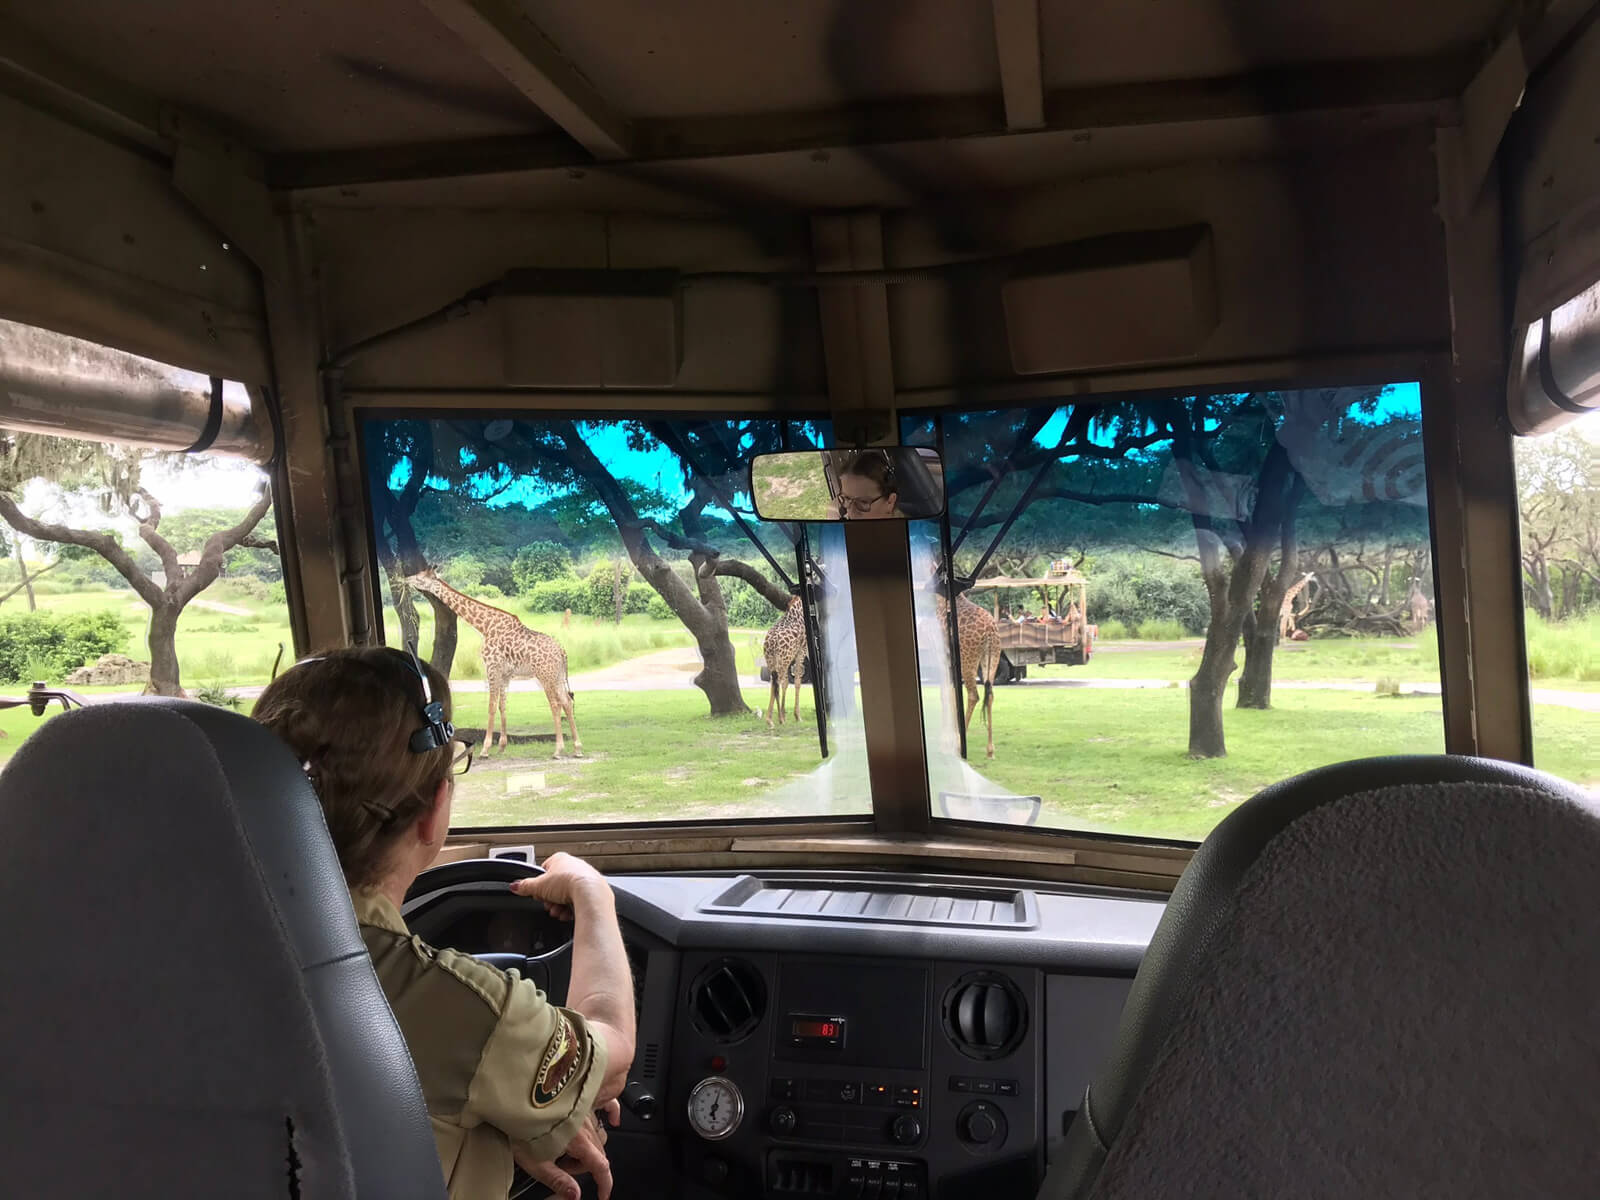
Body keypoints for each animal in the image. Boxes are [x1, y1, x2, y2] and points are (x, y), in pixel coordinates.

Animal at [406, 569, 582, 755]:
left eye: (420, 578)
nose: (405, 579)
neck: (485, 627)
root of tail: (562, 652)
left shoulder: (491, 668)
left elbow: (491, 706)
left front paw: (485, 748)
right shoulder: (505, 674)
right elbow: (502, 706)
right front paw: (502, 746)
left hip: (545, 676)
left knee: (556, 705)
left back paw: (558, 749)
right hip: (557, 676)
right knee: (567, 702)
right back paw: (577, 747)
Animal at [764, 595, 812, 729]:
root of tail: (771, 642)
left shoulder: (791, 657)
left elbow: (787, 683)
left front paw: (784, 716)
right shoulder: (801, 651)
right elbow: (797, 682)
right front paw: (797, 716)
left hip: (772, 660)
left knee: (774, 683)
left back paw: (771, 719)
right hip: (783, 659)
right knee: (778, 682)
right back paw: (775, 719)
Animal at [934, 592, 992, 761]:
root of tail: (991, 630)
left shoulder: (941, 656)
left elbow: (945, 695)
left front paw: (945, 744)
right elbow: (952, 694)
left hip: (967, 660)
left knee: (973, 695)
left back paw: (961, 745)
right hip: (991, 656)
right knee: (989, 695)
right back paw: (990, 750)